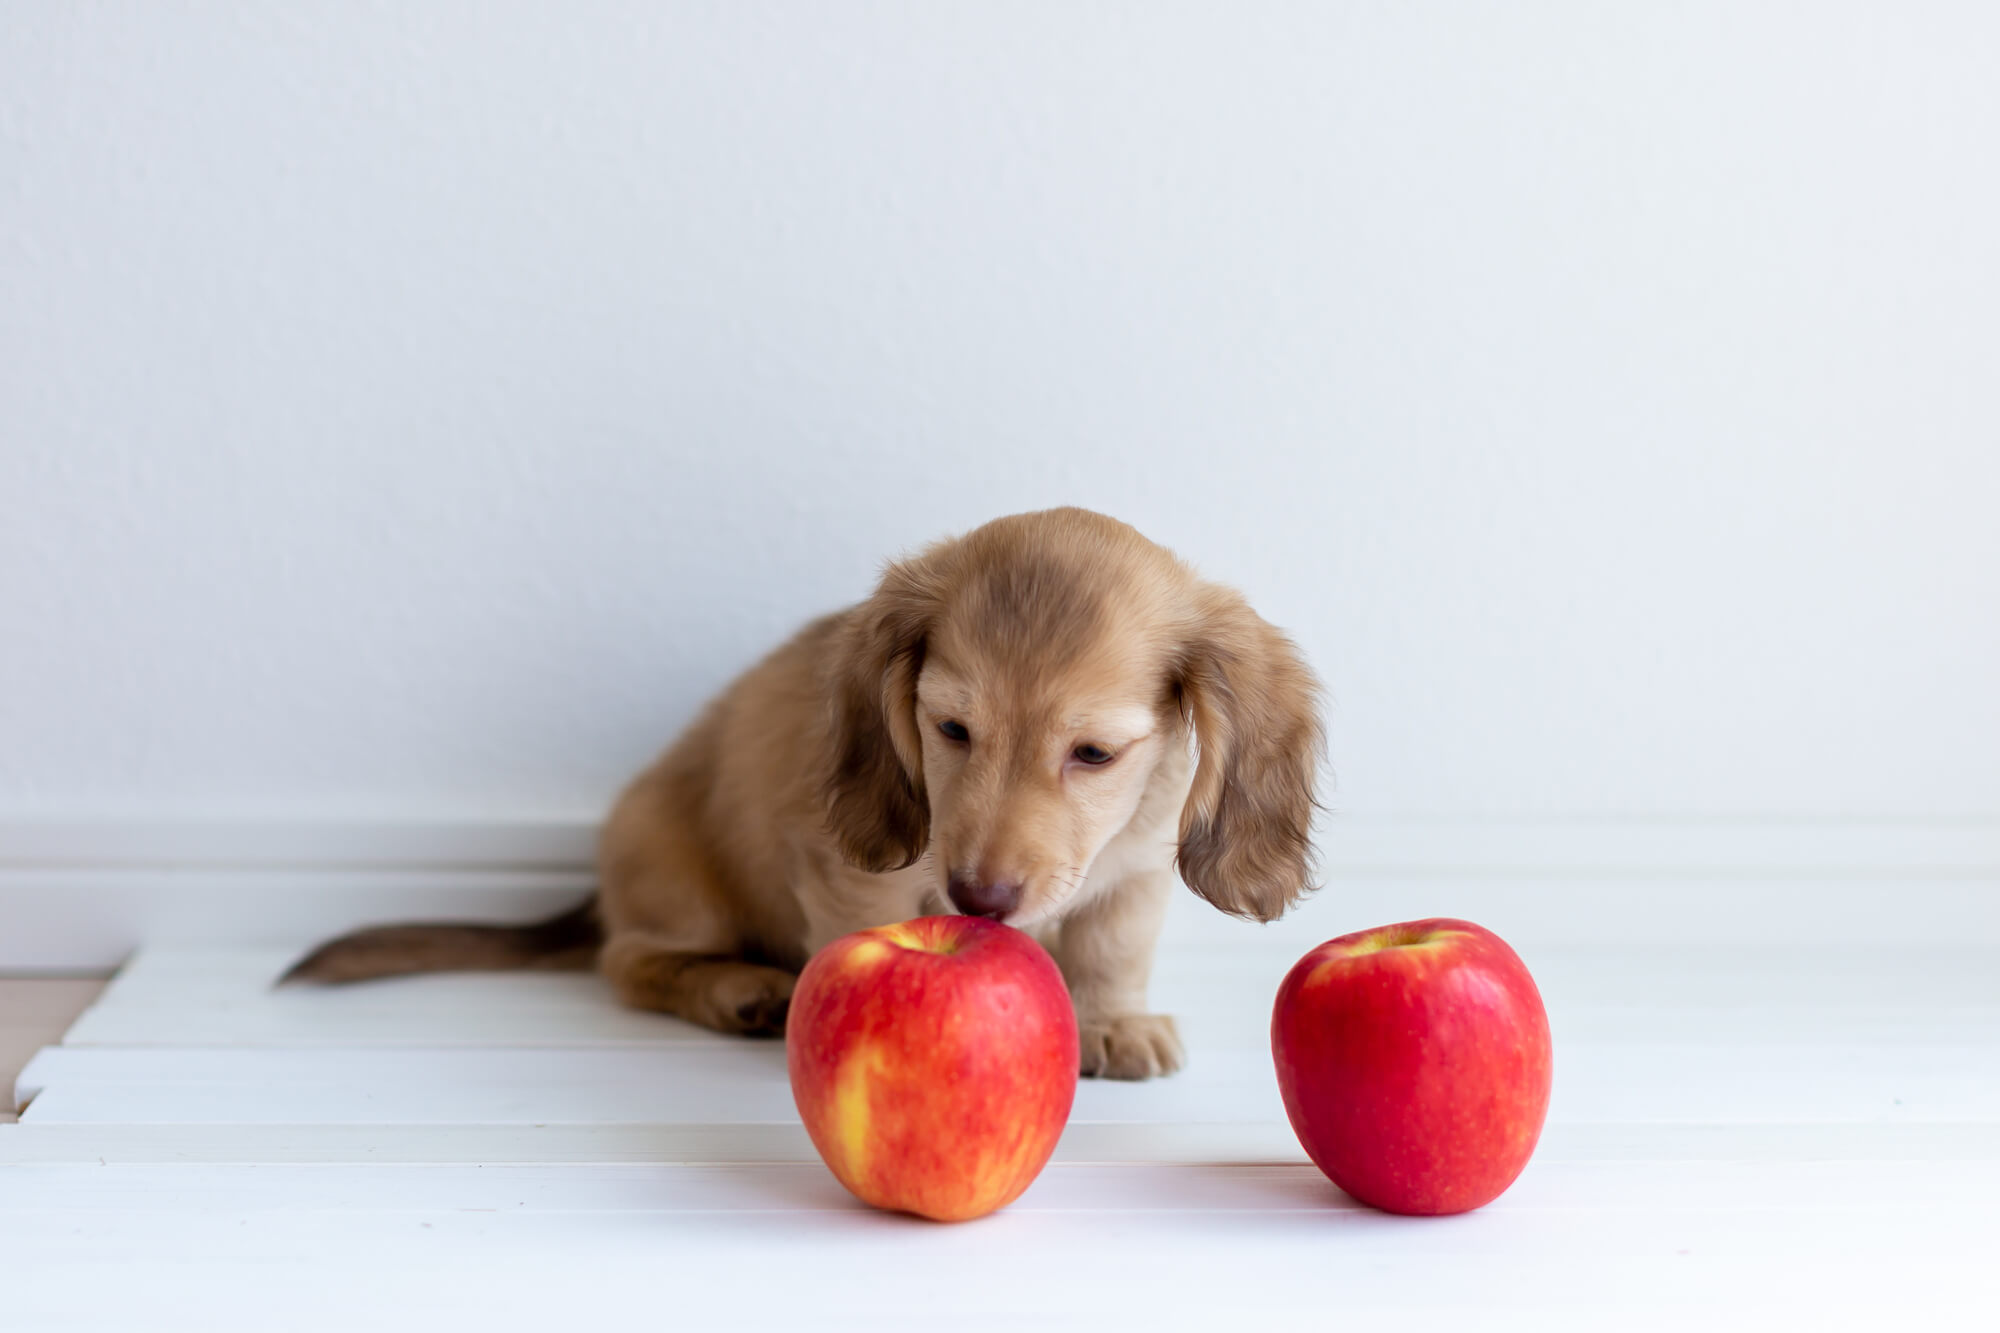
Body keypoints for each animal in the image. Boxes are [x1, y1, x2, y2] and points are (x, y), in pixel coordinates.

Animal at [290, 504, 1320, 1072]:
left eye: (1095, 753)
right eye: (952, 729)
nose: (979, 898)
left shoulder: (1133, 872)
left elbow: (1111, 950)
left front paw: (1114, 1023)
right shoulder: (852, 875)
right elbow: (855, 938)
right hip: (677, 881)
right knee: (630, 961)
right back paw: (737, 989)